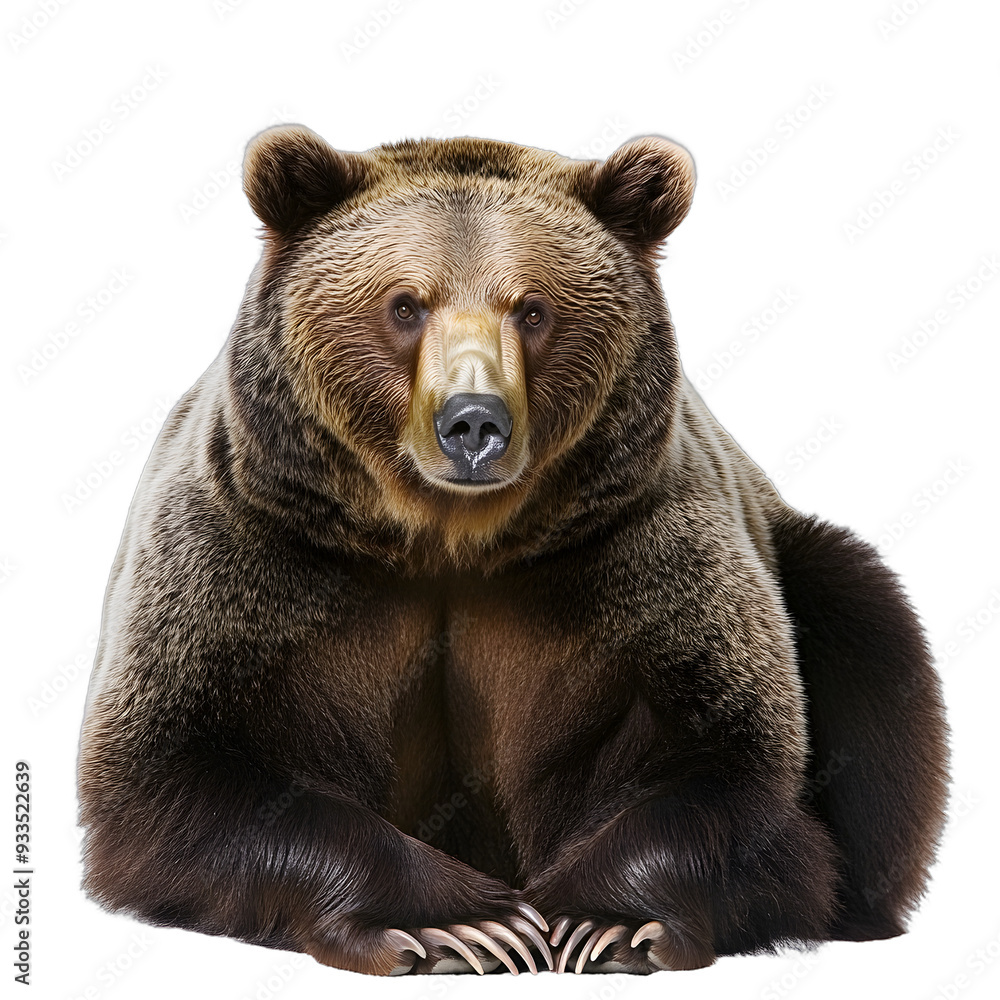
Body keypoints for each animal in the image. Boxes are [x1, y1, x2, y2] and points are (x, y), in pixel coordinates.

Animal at [77, 125, 949, 977]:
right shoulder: (255, 549)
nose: (472, 421)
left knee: (864, 629)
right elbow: (168, 778)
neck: (450, 538)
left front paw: (596, 920)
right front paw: (463, 923)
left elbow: (734, 766)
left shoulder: (643, 552)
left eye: (532, 309)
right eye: (405, 303)